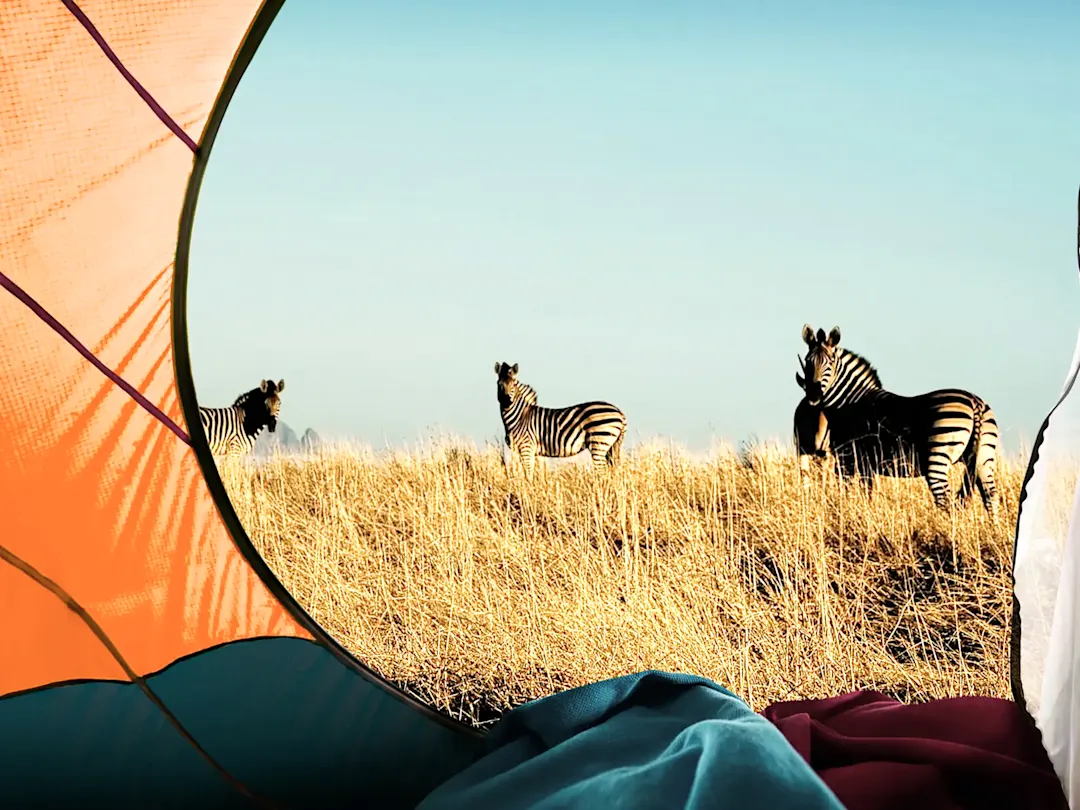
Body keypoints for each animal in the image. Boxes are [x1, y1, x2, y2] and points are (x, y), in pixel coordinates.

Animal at [494, 360, 630, 481]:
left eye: (514, 384)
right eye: (499, 384)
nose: (507, 401)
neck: (520, 416)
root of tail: (620, 412)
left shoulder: (526, 447)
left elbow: (528, 475)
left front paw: (528, 490)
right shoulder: (534, 451)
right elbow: (537, 473)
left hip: (599, 443)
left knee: (602, 473)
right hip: (612, 446)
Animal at [790, 324, 997, 514]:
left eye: (830, 362)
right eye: (808, 362)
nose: (814, 396)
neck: (849, 401)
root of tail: (974, 403)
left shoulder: (846, 457)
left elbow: (847, 492)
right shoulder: (866, 464)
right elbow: (867, 495)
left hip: (938, 457)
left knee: (944, 500)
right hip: (984, 458)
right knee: (991, 498)